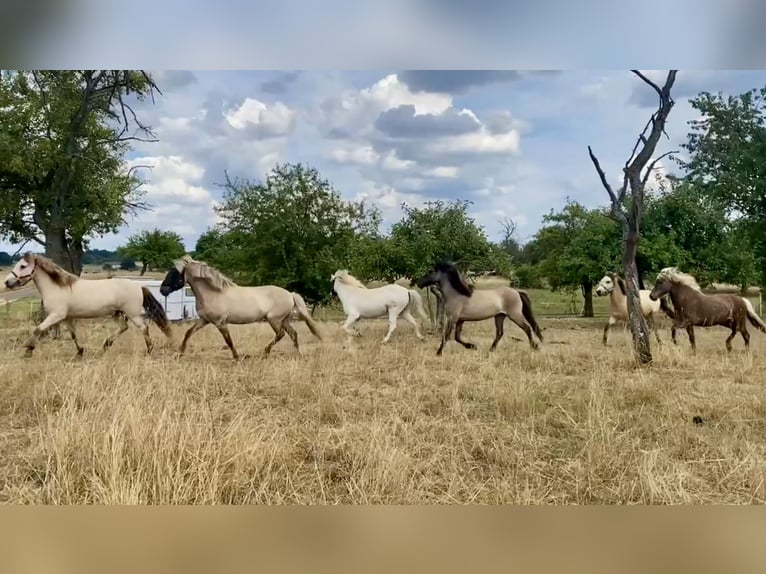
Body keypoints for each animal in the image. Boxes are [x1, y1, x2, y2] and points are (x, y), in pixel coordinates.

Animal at [3, 252, 172, 357]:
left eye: (23, 266)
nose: (7, 282)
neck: (58, 287)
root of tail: (139, 286)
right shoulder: (67, 318)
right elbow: (73, 335)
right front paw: (80, 352)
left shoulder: (56, 315)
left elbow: (38, 329)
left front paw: (28, 350)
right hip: (117, 313)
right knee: (123, 327)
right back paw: (106, 345)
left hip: (133, 314)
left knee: (144, 328)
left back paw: (149, 350)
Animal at [160, 255, 321, 359]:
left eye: (175, 272)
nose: (163, 290)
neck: (213, 293)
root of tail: (290, 294)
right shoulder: (203, 320)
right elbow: (188, 333)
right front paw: (180, 353)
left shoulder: (220, 323)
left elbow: (228, 340)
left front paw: (236, 357)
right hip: (284, 320)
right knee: (293, 334)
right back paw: (299, 355)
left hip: (274, 320)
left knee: (281, 334)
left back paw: (265, 352)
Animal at [413, 261, 543, 355]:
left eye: (430, 271)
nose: (418, 282)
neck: (456, 295)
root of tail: (517, 292)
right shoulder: (460, 320)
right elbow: (457, 337)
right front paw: (472, 346)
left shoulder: (452, 318)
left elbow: (447, 335)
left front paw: (438, 353)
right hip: (499, 316)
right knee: (500, 333)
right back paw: (491, 350)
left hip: (514, 315)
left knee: (527, 328)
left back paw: (534, 346)